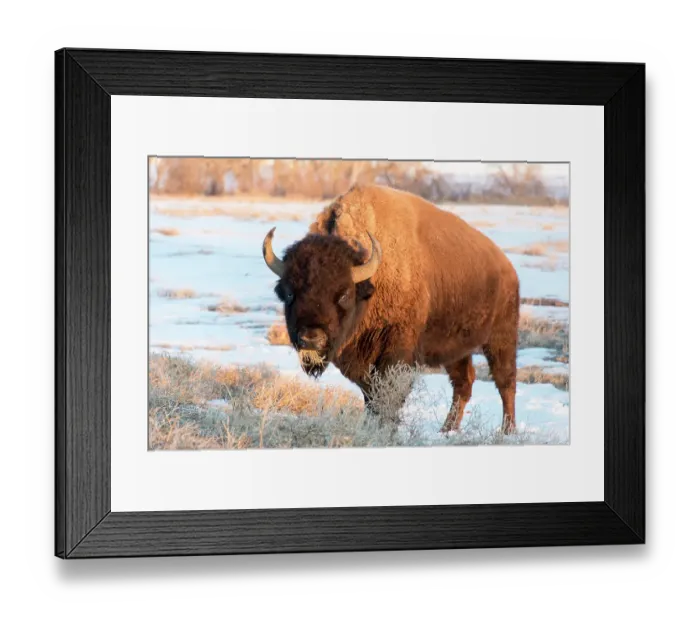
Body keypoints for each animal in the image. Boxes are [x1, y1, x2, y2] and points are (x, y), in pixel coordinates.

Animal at [262, 184, 520, 433]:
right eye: (289, 293)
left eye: (344, 294)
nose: (310, 337)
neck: (371, 284)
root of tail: (506, 266)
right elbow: (371, 397)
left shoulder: (396, 353)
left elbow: (388, 396)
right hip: (456, 348)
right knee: (463, 382)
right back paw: (447, 430)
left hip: (501, 337)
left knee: (505, 381)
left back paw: (507, 431)